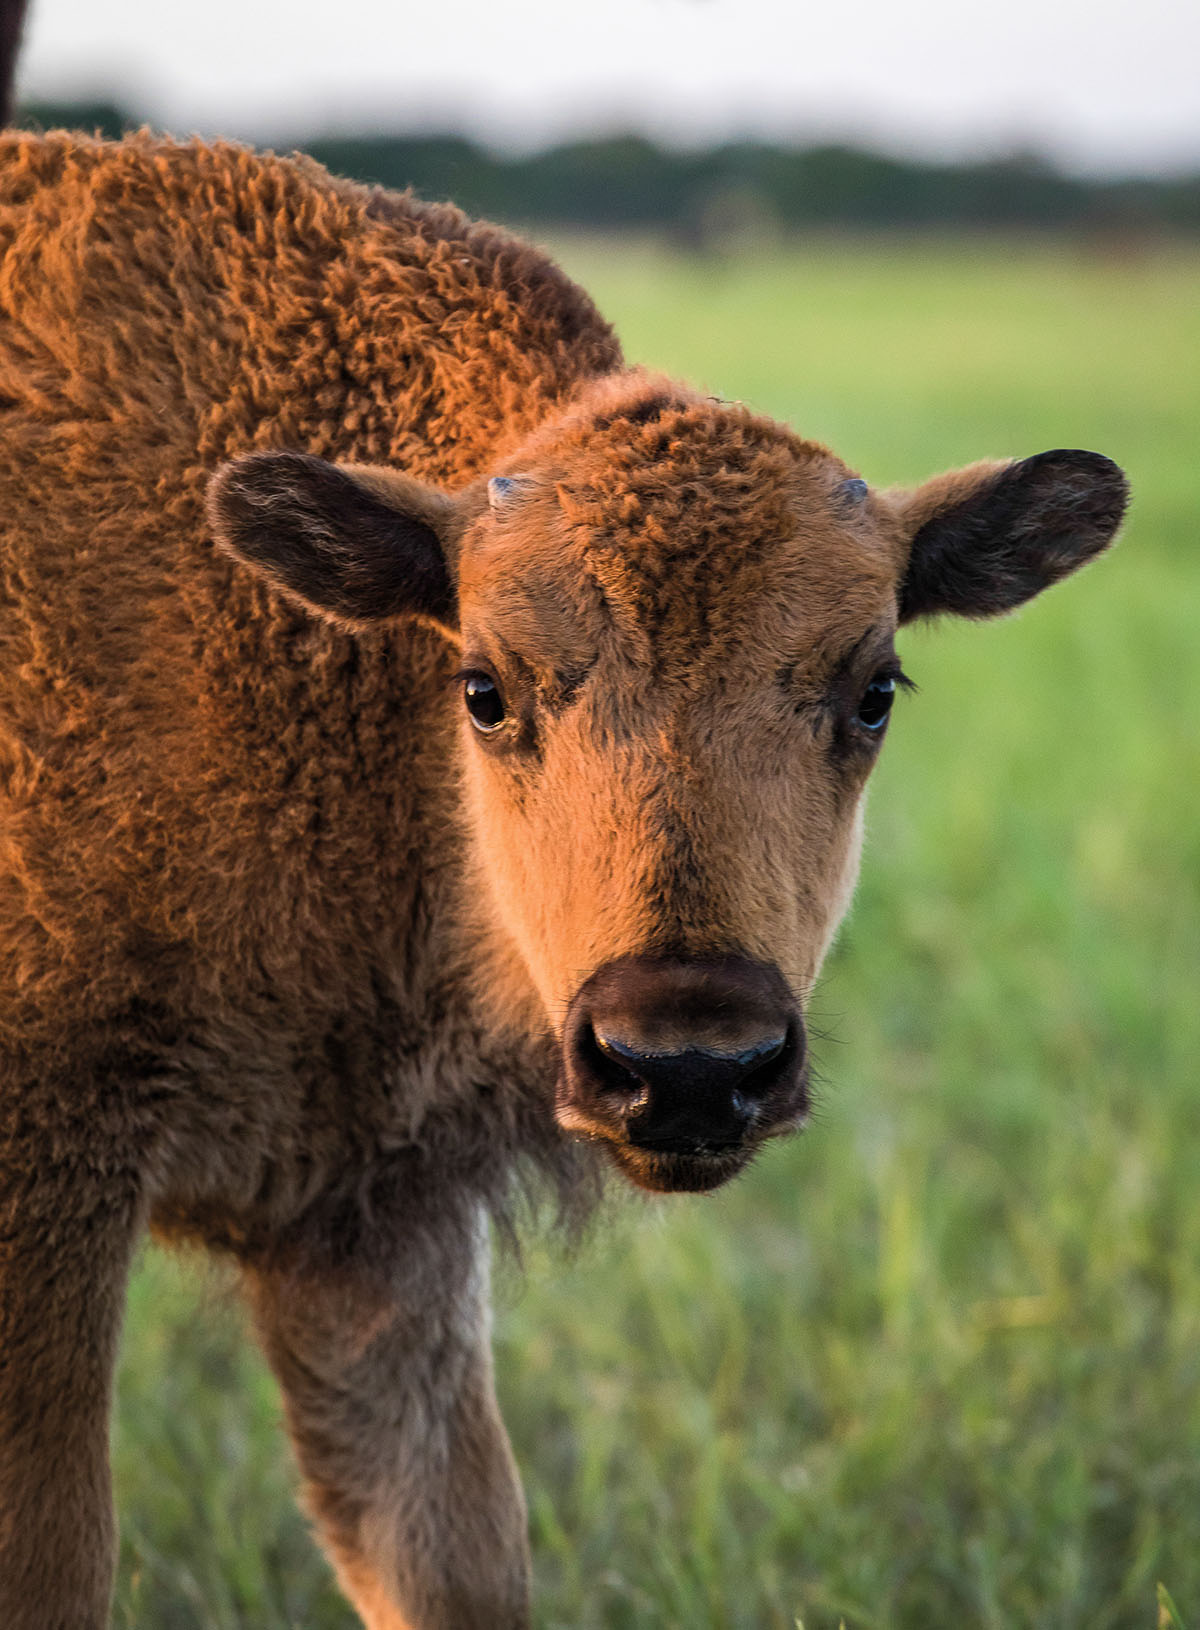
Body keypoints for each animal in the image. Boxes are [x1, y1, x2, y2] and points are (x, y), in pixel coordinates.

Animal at [0, 136, 1121, 1630]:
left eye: (873, 689)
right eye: (484, 686)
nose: (690, 1065)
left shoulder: (371, 1215)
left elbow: (448, 1550)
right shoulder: (53, 1185)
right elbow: (56, 1557)